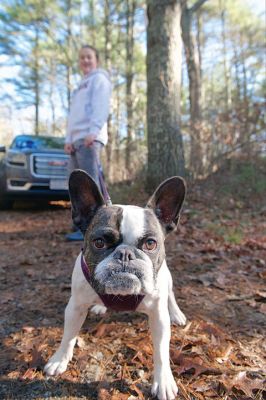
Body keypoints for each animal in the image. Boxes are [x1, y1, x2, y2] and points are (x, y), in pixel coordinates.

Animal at [44, 170, 186, 400]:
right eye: (99, 242)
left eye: (150, 244)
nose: (125, 254)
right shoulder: (75, 307)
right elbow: (68, 336)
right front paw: (59, 359)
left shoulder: (158, 316)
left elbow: (161, 351)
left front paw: (163, 381)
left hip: (167, 278)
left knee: (170, 295)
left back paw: (176, 313)